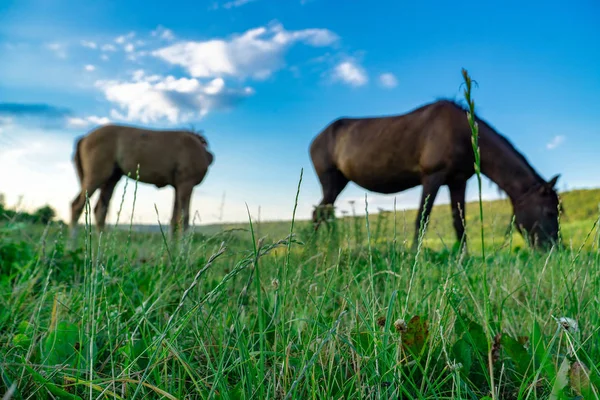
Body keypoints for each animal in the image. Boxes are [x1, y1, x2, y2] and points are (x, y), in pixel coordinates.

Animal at [70, 123, 213, 241]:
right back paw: (72, 247)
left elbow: (174, 220)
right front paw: (181, 254)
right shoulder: (186, 184)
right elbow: (184, 219)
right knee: (77, 206)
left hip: (112, 179)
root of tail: (84, 138)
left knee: (100, 211)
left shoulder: (177, 187)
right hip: (97, 176)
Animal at [310, 99, 564, 250]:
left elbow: (459, 223)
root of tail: (316, 139)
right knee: (319, 213)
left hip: (338, 182)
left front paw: (463, 259)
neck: (462, 133)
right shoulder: (432, 177)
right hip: (330, 181)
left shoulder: (458, 182)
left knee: (325, 212)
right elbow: (421, 220)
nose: (557, 249)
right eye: (550, 212)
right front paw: (414, 257)